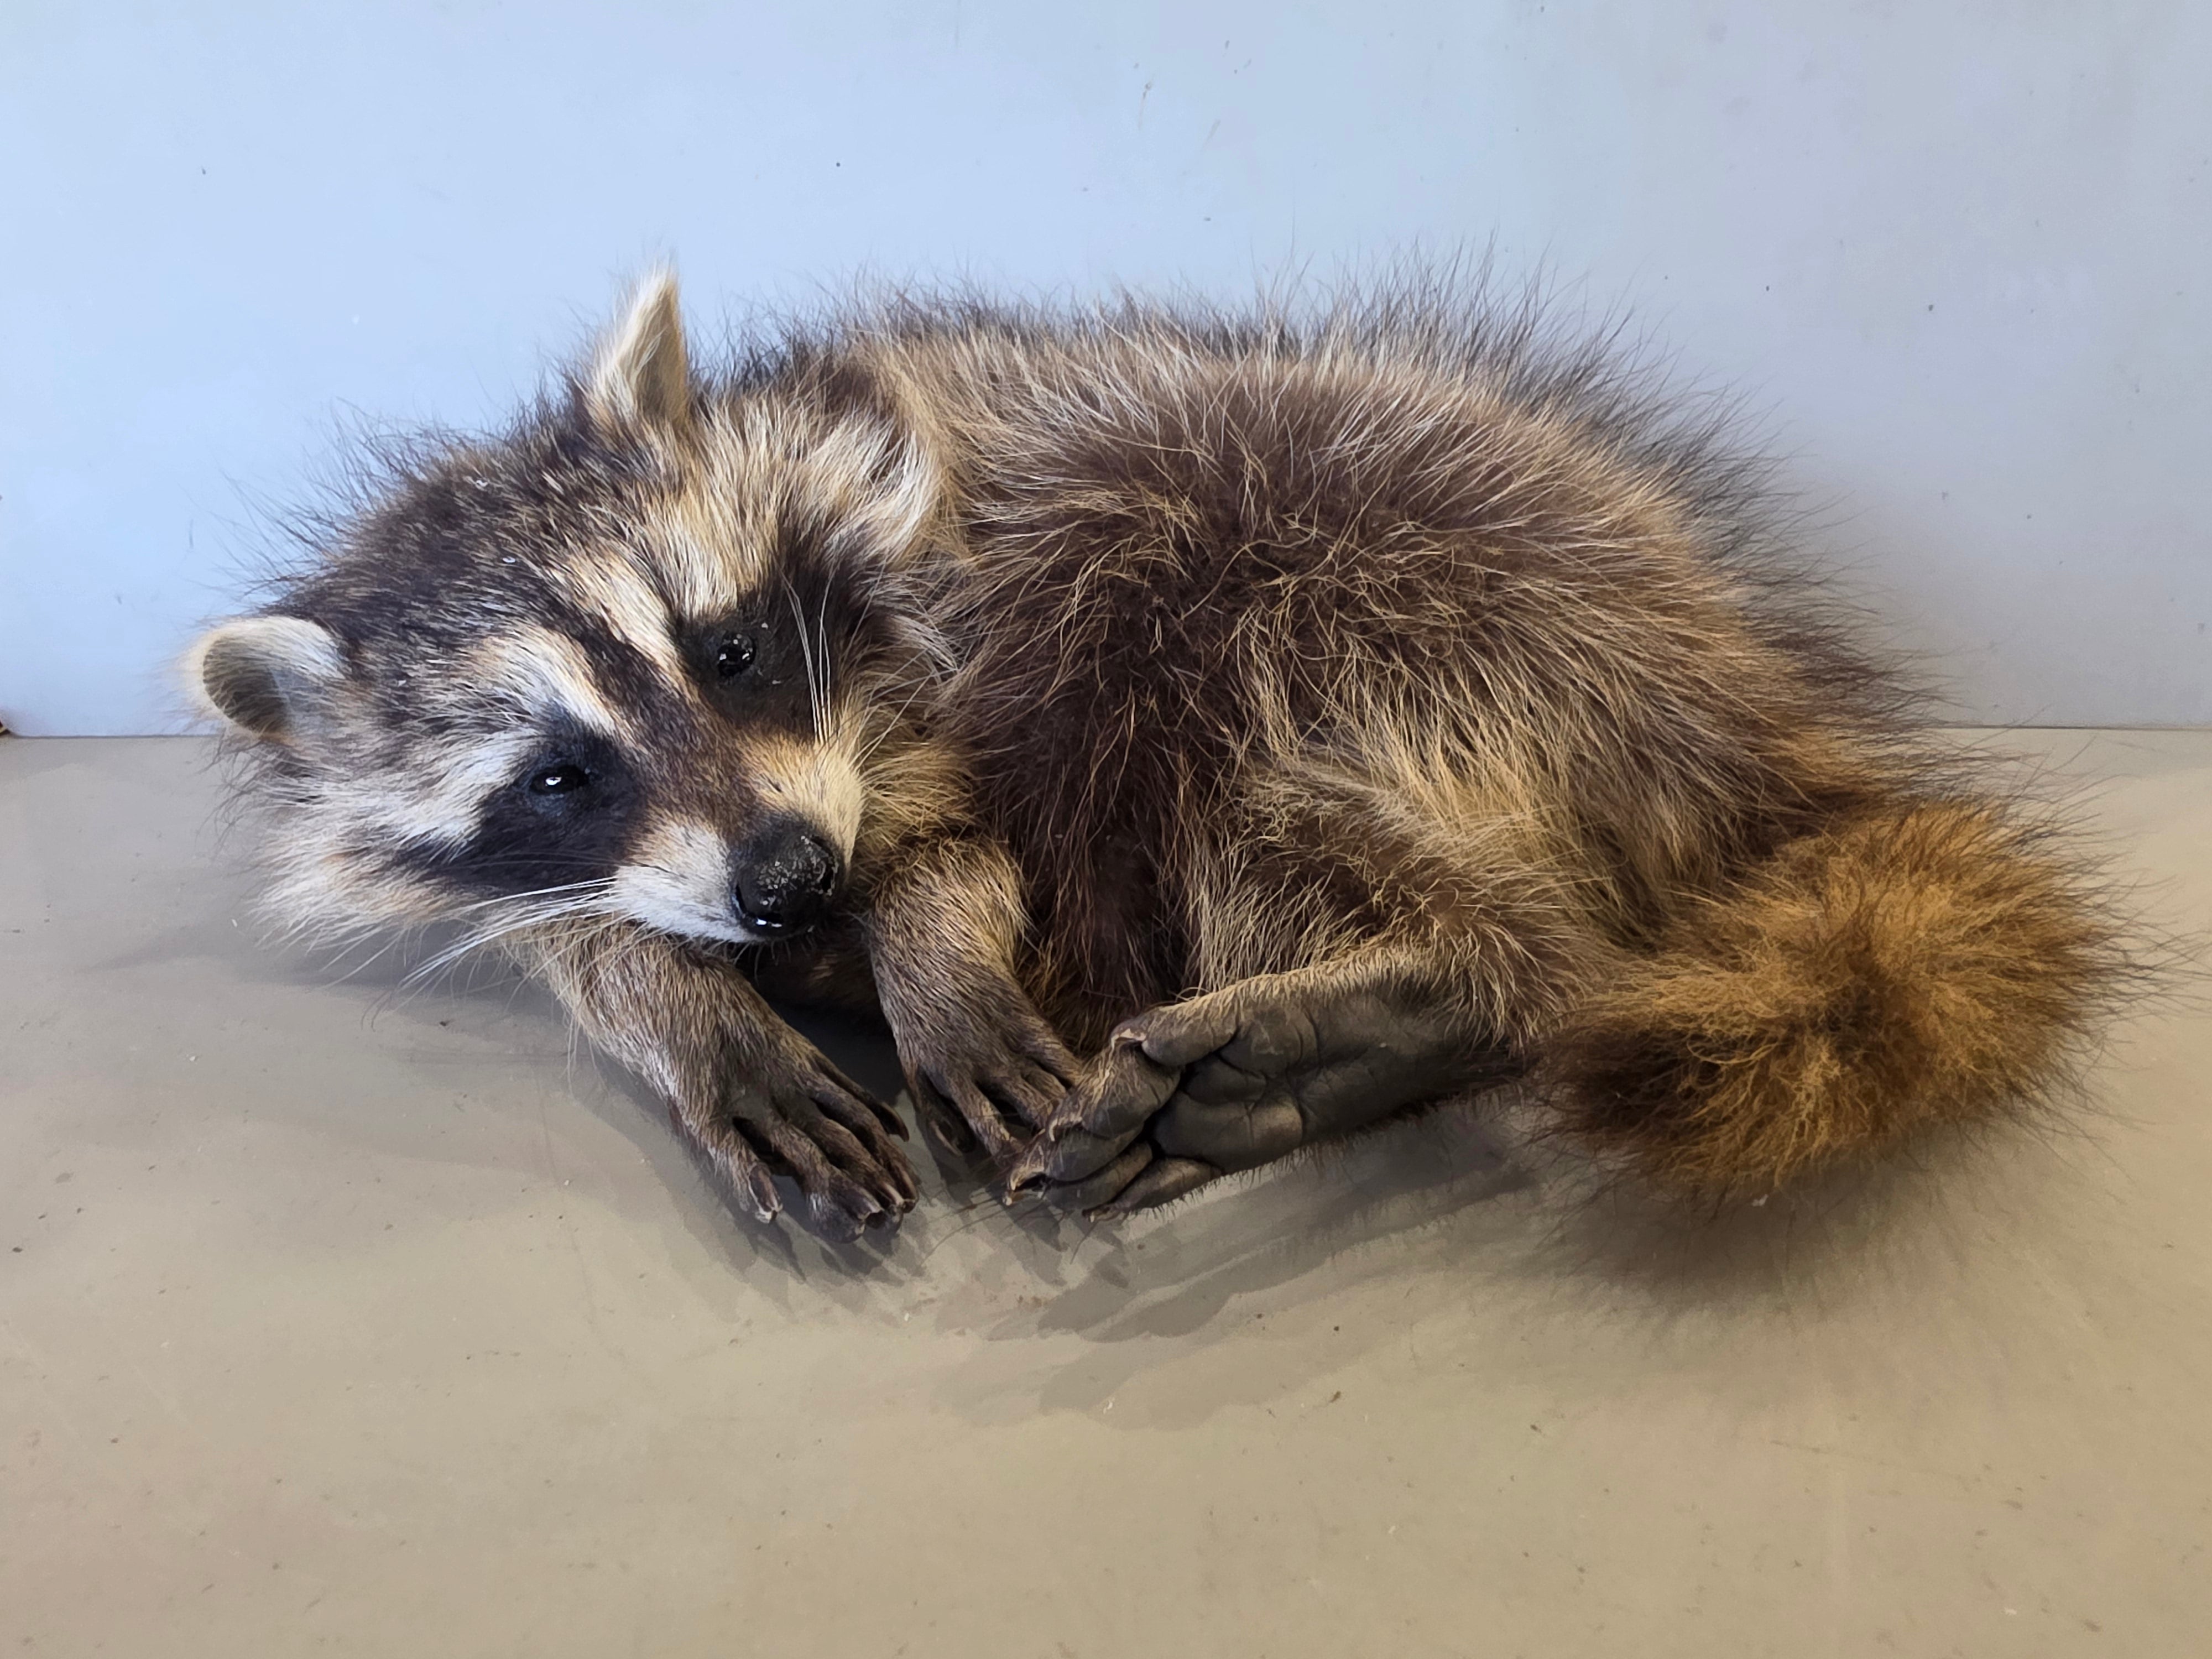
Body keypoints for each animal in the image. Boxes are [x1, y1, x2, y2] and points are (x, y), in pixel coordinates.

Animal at [186, 270, 2121, 1239]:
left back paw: (1449, 976)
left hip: (1377, 531)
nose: (797, 882)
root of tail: (1744, 702)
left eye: (725, 649)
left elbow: (972, 836)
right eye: (557, 780)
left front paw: (928, 945)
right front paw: (679, 1005)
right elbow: (574, 930)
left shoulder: (944, 662)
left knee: (1245, 737)